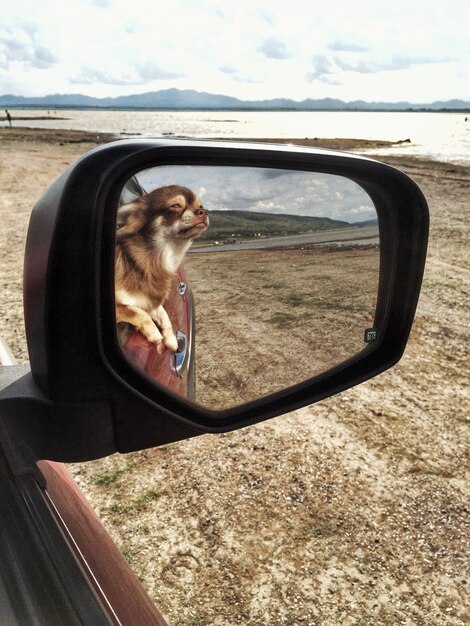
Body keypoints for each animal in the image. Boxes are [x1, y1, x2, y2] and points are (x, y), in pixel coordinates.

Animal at [115, 184, 207, 352]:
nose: (203, 211)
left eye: (200, 206)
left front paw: (171, 340)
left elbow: (164, 315)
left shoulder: (149, 299)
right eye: (175, 205)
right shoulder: (119, 306)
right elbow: (136, 312)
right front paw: (154, 333)